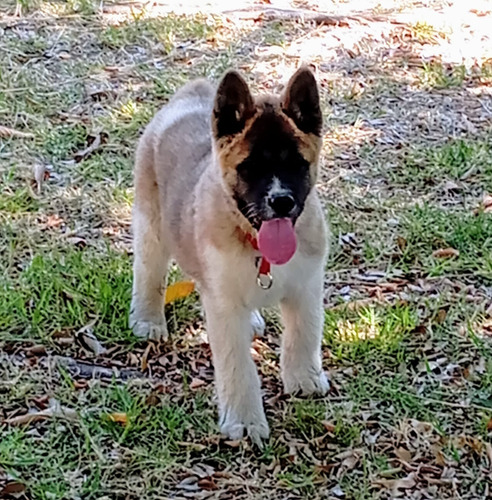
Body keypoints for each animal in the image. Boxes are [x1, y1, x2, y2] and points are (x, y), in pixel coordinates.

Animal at [131, 65, 330, 442]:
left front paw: (304, 378)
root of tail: (190, 94)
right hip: (152, 228)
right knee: (149, 272)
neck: (255, 244)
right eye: (250, 167)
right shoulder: (223, 306)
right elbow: (237, 366)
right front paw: (244, 421)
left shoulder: (307, 287)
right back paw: (147, 318)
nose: (281, 201)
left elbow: (304, 334)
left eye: (297, 165)